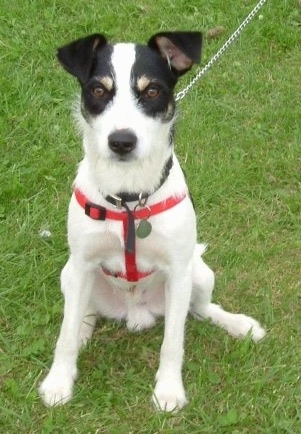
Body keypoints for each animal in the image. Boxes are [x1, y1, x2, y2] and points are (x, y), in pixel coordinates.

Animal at [38, 32, 264, 412]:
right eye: (98, 90)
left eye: (153, 91)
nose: (122, 141)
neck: (129, 197)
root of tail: (135, 313)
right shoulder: (82, 263)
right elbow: (65, 335)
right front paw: (59, 381)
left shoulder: (178, 270)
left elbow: (173, 341)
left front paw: (169, 391)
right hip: (69, 275)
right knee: (82, 312)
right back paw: (84, 331)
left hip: (199, 273)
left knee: (201, 310)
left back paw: (240, 325)